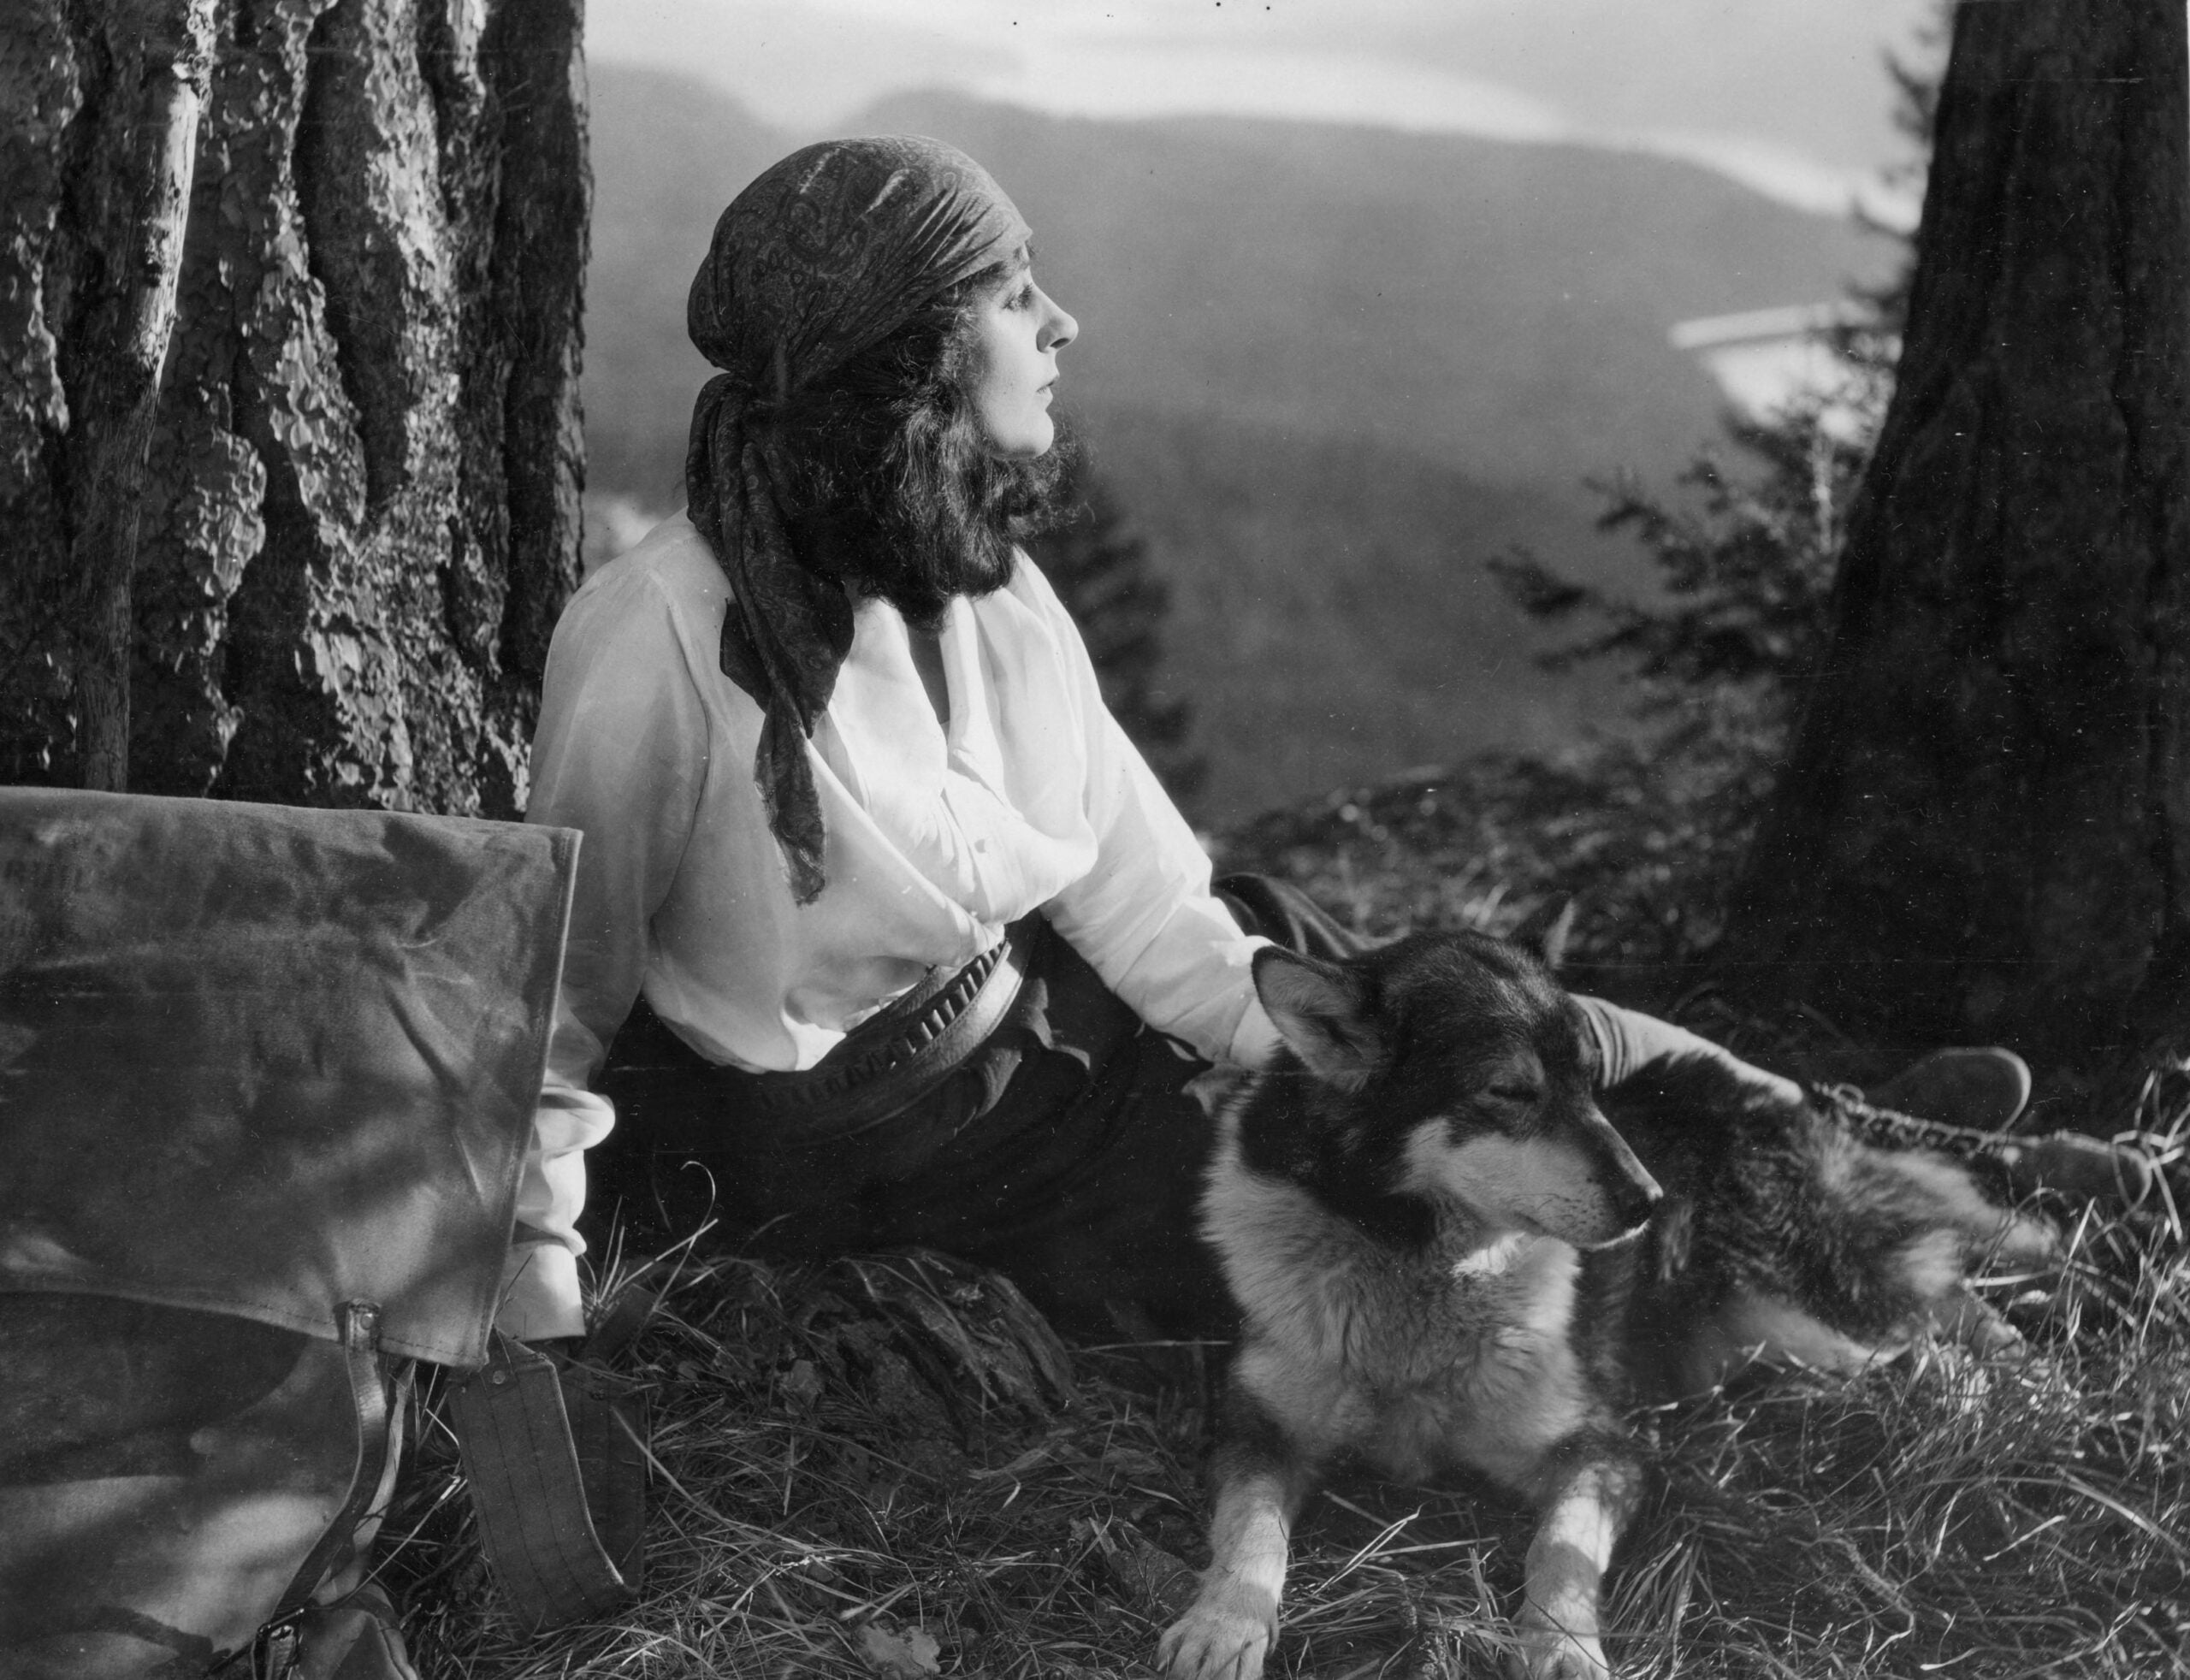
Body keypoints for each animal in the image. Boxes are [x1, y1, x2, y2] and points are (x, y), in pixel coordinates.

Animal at [1156, 928, 2058, 1680]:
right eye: (1510, 1091)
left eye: (1593, 1086)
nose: (1651, 1202)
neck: (1419, 1271)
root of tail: (1779, 1097)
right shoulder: (1255, 1433)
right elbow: (1251, 1528)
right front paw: (1223, 1624)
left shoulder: (1603, 1450)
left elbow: (1557, 1549)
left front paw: (1562, 1647)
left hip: (1801, 1311)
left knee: (1934, 1301)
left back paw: (2014, 1378)